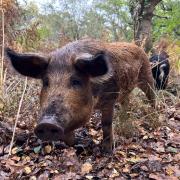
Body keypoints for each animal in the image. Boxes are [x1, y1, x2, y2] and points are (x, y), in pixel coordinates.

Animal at [5, 38, 155, 153]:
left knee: (152, 95)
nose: (47, 123)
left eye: (76, 81)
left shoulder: (110, 98)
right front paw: (79, 143)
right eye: (46, 82)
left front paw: (107, 151)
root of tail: (138, 47)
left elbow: (106, 124)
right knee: (126, 102)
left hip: (147, 76)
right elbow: (68, 137)